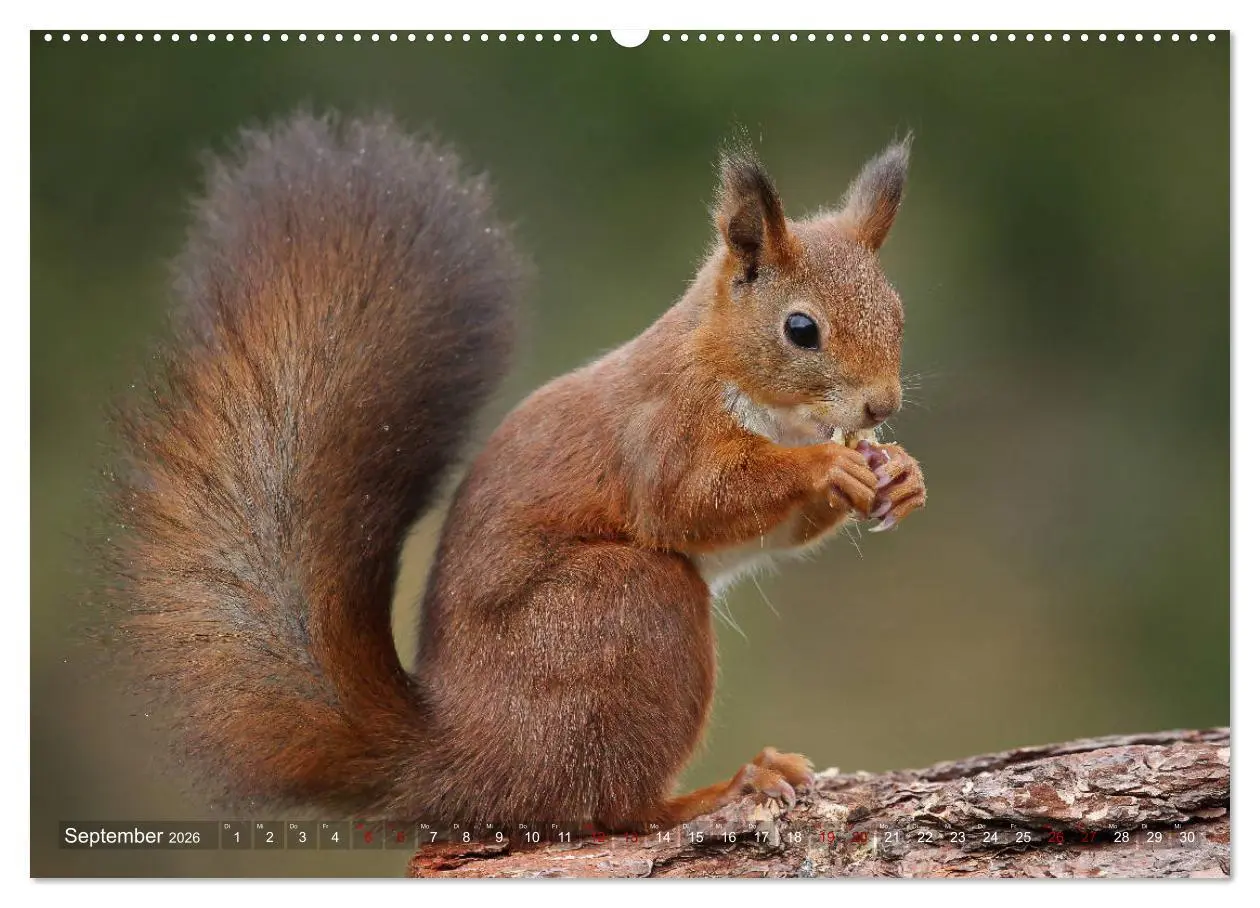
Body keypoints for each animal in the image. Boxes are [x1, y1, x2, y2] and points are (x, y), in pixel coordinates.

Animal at [108, 111, 926, 829]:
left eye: (897, 312)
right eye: (801, 329)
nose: (882, 405)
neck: (745, 383)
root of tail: (459, 760)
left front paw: (900, 476)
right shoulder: (663, 430)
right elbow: (691, 500)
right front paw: (829, 466)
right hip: (627, 610)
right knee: (610, 808)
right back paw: (724, 789)